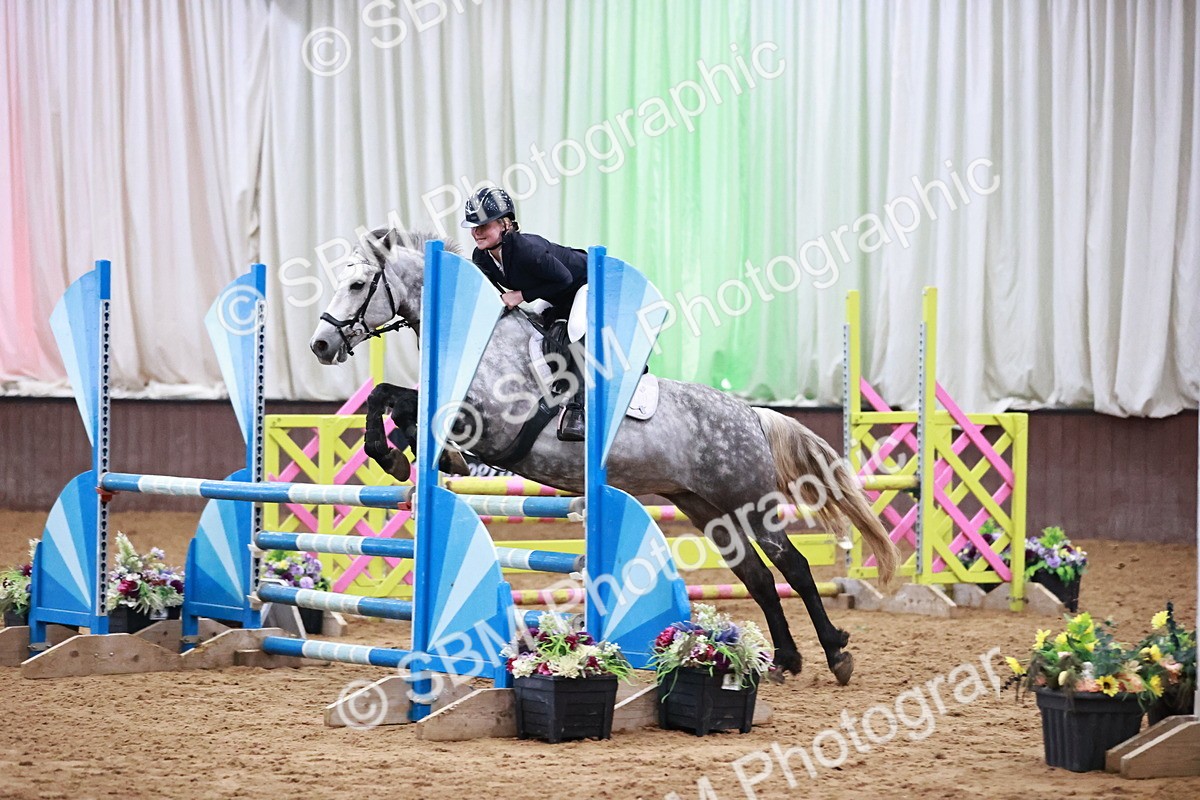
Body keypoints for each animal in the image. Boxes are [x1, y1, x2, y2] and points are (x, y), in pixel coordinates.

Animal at [309, 228, 899, 685]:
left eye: (358, 284)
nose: (320, 346)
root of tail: (751, 414)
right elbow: (393, 400)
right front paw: (404, 457)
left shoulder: (495, 427)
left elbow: (404, 403)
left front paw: (401, 455)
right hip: (707, 509)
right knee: (756, 576)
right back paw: (784, 660)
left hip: (748, 501)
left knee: (792, 566)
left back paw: (835, 652)